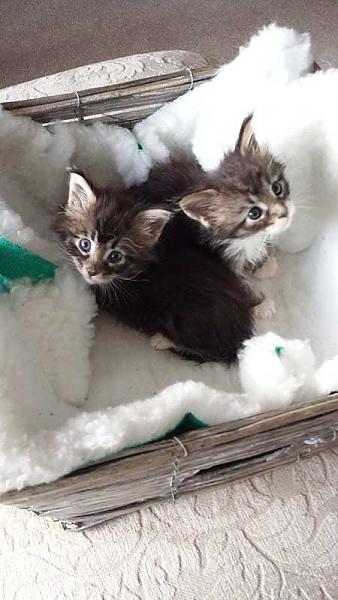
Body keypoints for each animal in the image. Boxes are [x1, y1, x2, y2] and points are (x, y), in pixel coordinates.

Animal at [54, 171, 256, 364]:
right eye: (85, 244)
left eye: (115, 256)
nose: (91, 272)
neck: (134, 271)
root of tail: (242, 331)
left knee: (214, 350)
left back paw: (161, 340)